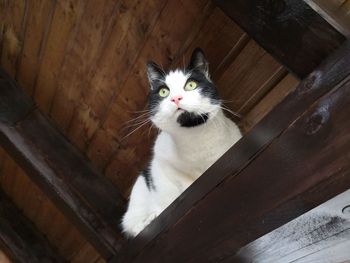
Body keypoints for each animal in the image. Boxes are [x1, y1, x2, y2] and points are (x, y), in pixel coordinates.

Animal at [120, 48, 241, 238]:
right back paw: (151, 218)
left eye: (190, 85)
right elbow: (185, 182)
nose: (176, 98)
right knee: (133, 225)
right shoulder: (162, 160)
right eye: (164, 92)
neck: (195, 137)